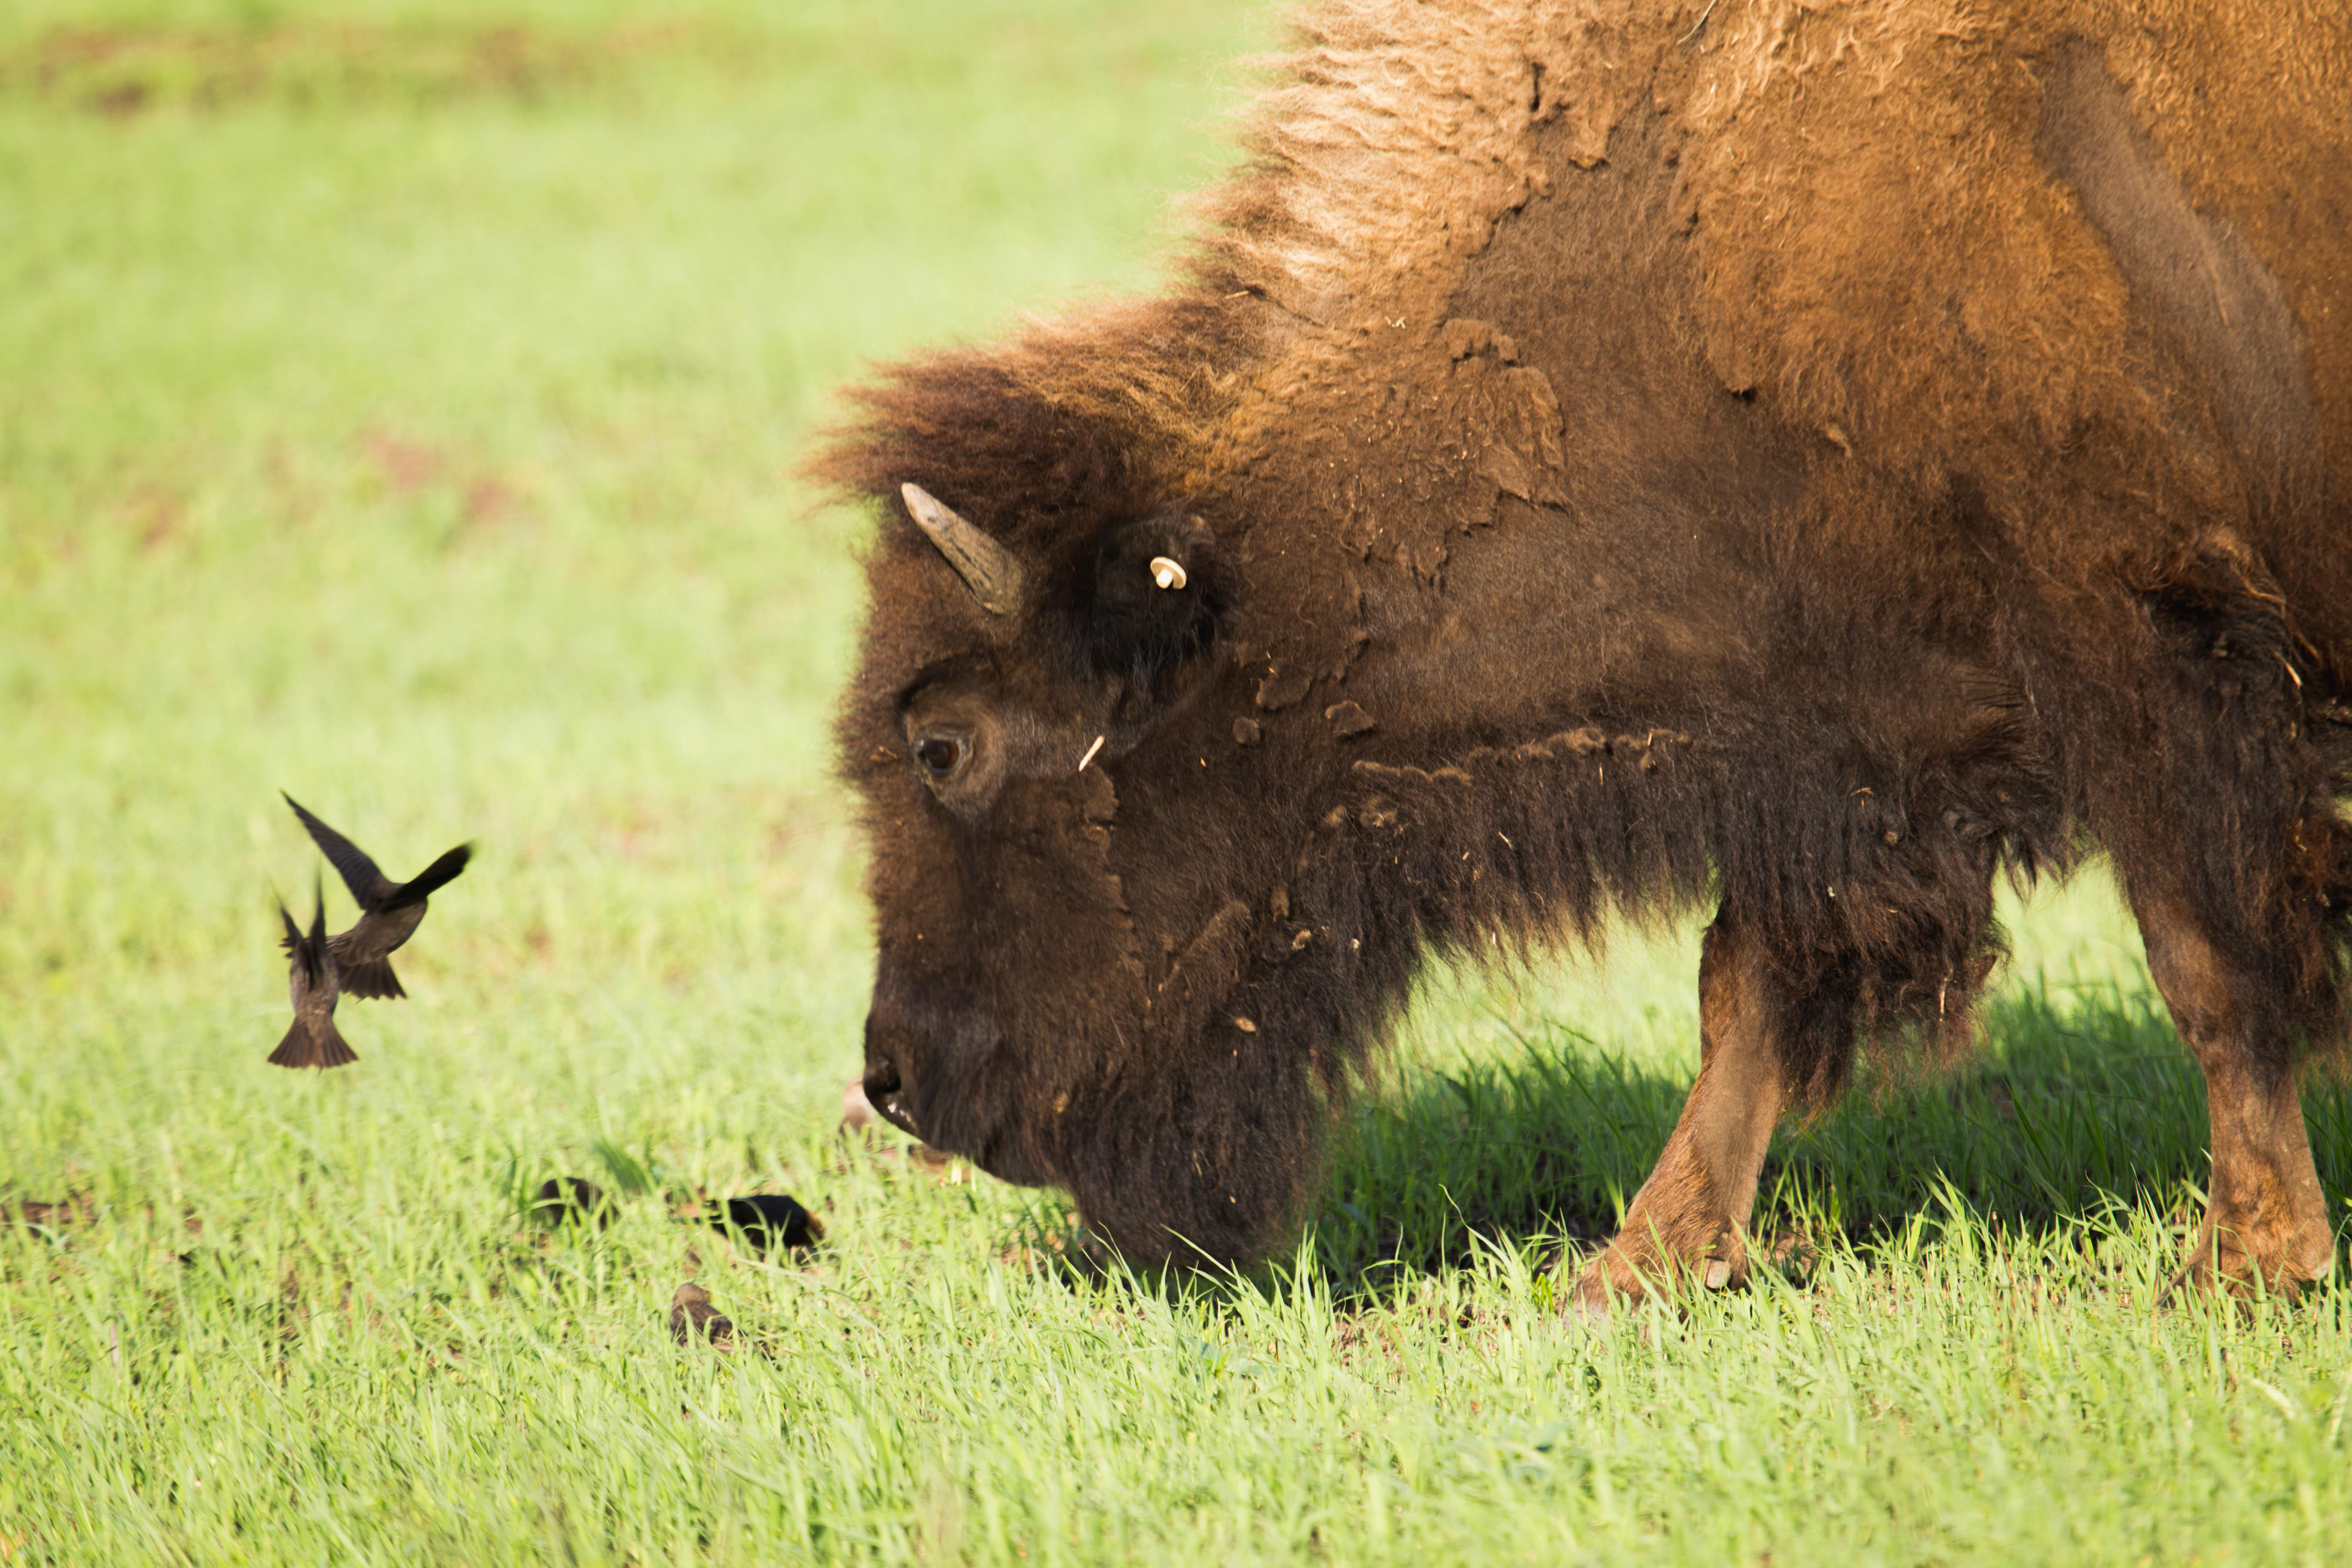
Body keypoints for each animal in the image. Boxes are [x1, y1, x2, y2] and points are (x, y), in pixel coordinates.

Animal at [814, 0, 2352, 1307]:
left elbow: (2204, 957)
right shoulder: (1824, 737)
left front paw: (2247, 1265)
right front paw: (1634, 1270)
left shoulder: (2137, 648)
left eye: (941, 745)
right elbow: (1745, 991)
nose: (894, 1077)